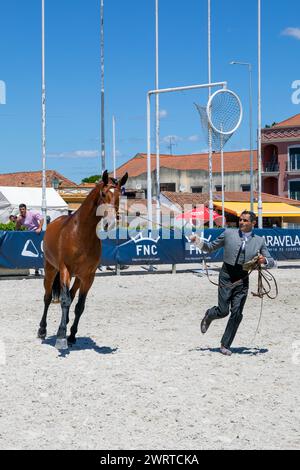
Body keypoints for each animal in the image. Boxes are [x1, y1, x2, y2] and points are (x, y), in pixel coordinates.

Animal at [37, 170, 127, 348]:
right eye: (103, 194)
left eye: (119, 195)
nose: (110, 222)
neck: (80, 233)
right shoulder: (65, 270)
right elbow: (64, 301)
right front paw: (61, 336)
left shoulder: (88, 276)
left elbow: (79, 305)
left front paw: (71, 335)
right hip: (51, 270)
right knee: (48, 297)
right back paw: (42, 330)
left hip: (78, 277)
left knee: (71, 297)